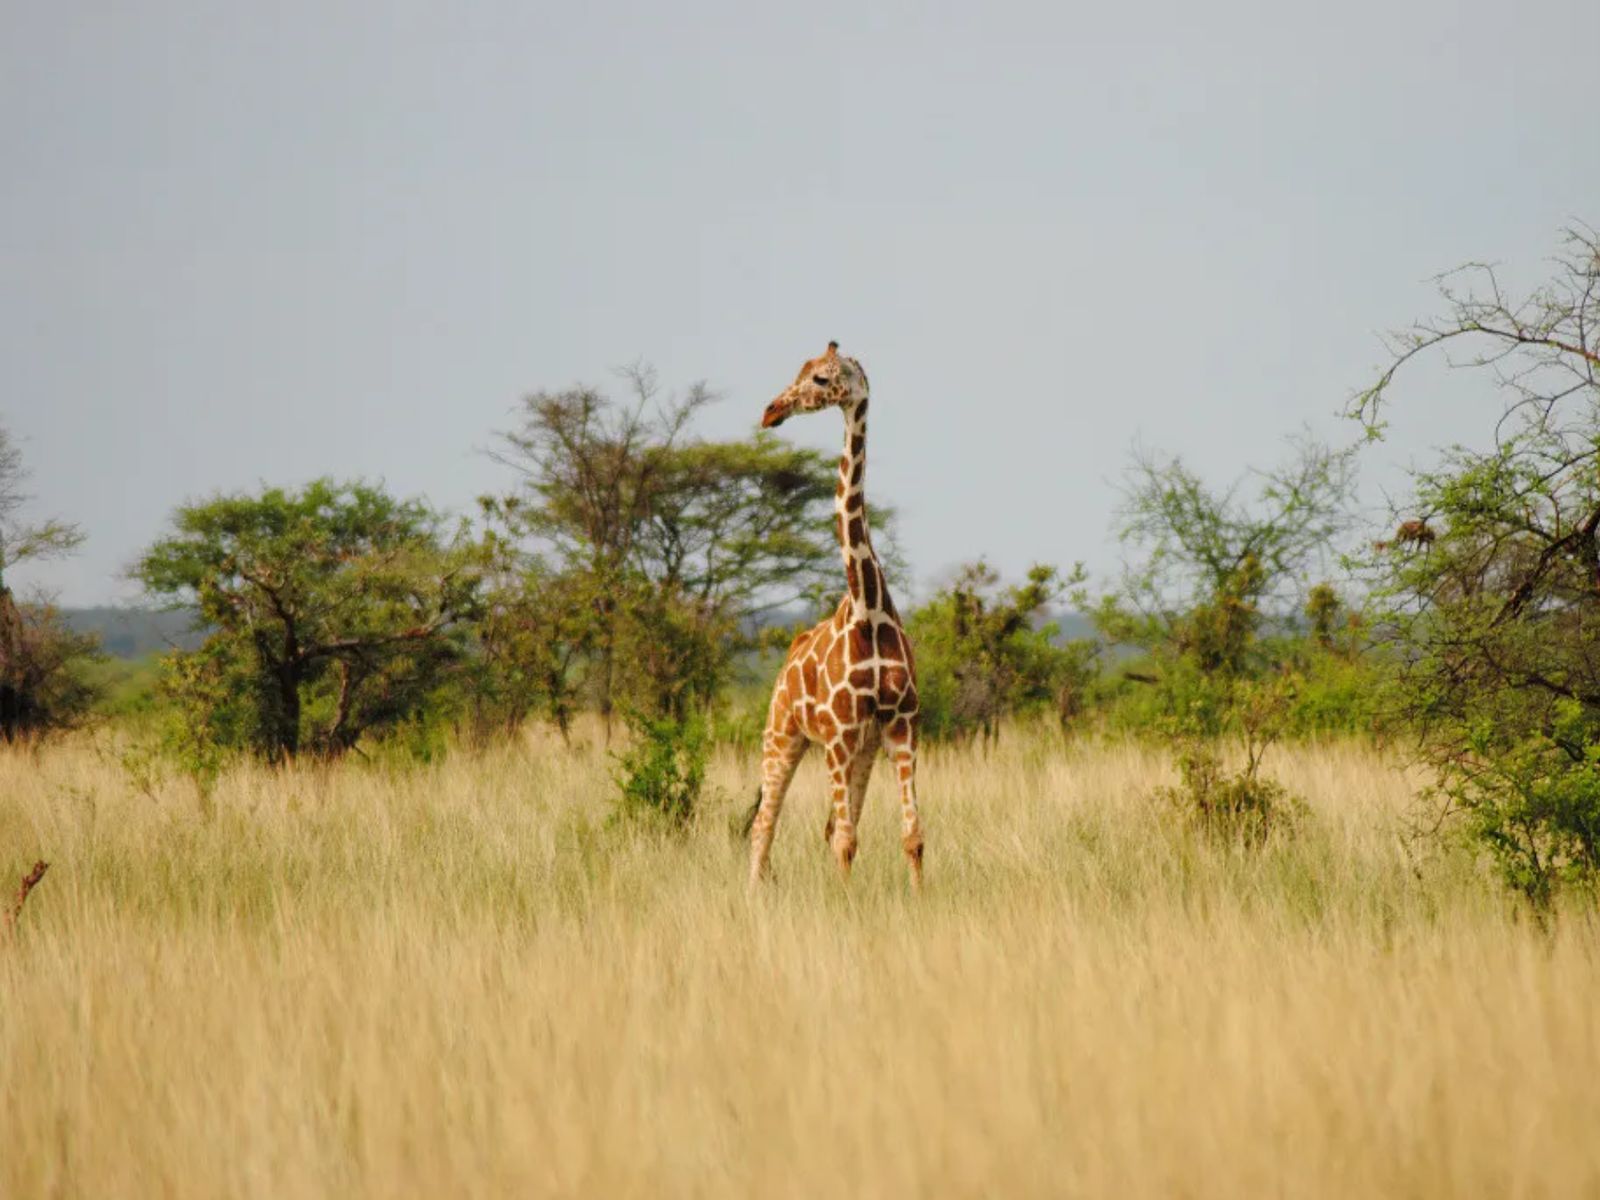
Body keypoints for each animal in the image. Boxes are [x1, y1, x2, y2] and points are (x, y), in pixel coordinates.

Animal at [742, 342, 921, 889]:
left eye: (821, 379)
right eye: (800, 371)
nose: (770, 411)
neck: (868, 609)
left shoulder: (900, 725)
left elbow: (910, 836)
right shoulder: (838, 735)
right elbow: (845, 839)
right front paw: (844, 903)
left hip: (860, 747)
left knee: (826, 828)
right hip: (782, 734)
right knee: (763, 827)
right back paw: (752, 894)